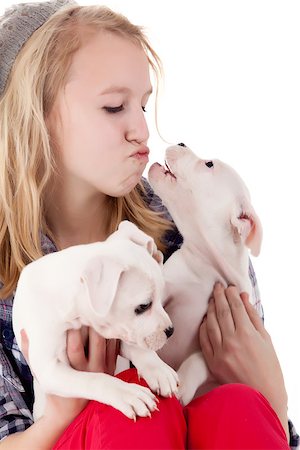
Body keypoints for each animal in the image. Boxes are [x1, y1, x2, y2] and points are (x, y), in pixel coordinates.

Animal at [12, 221, 178, 422]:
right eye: (143, 306)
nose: (171, 331)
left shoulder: (116, 336)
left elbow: (137, 349)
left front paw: (158, 369)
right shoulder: (50, 369)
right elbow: (93, 379)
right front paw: (127, 393)